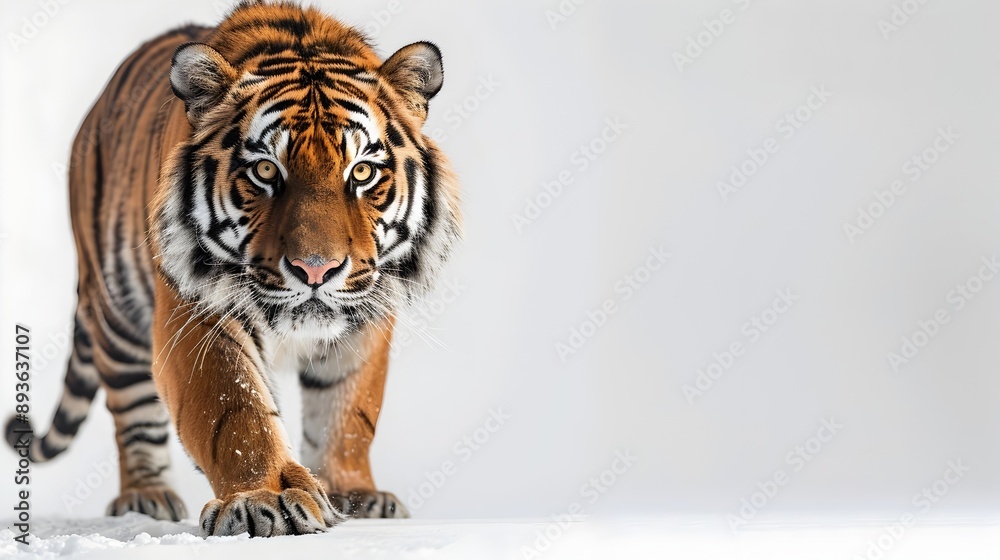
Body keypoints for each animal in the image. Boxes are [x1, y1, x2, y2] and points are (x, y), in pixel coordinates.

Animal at [3, 0, 461, 537]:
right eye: (265, 170)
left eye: (362, 172)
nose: (316, 270)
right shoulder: (196, 309)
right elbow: (236, 410)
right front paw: (267, 498)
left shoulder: (367, 310)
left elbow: (348, 412)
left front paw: (355, 494)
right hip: (116, 313)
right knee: (131, 412)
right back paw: (145, 496)